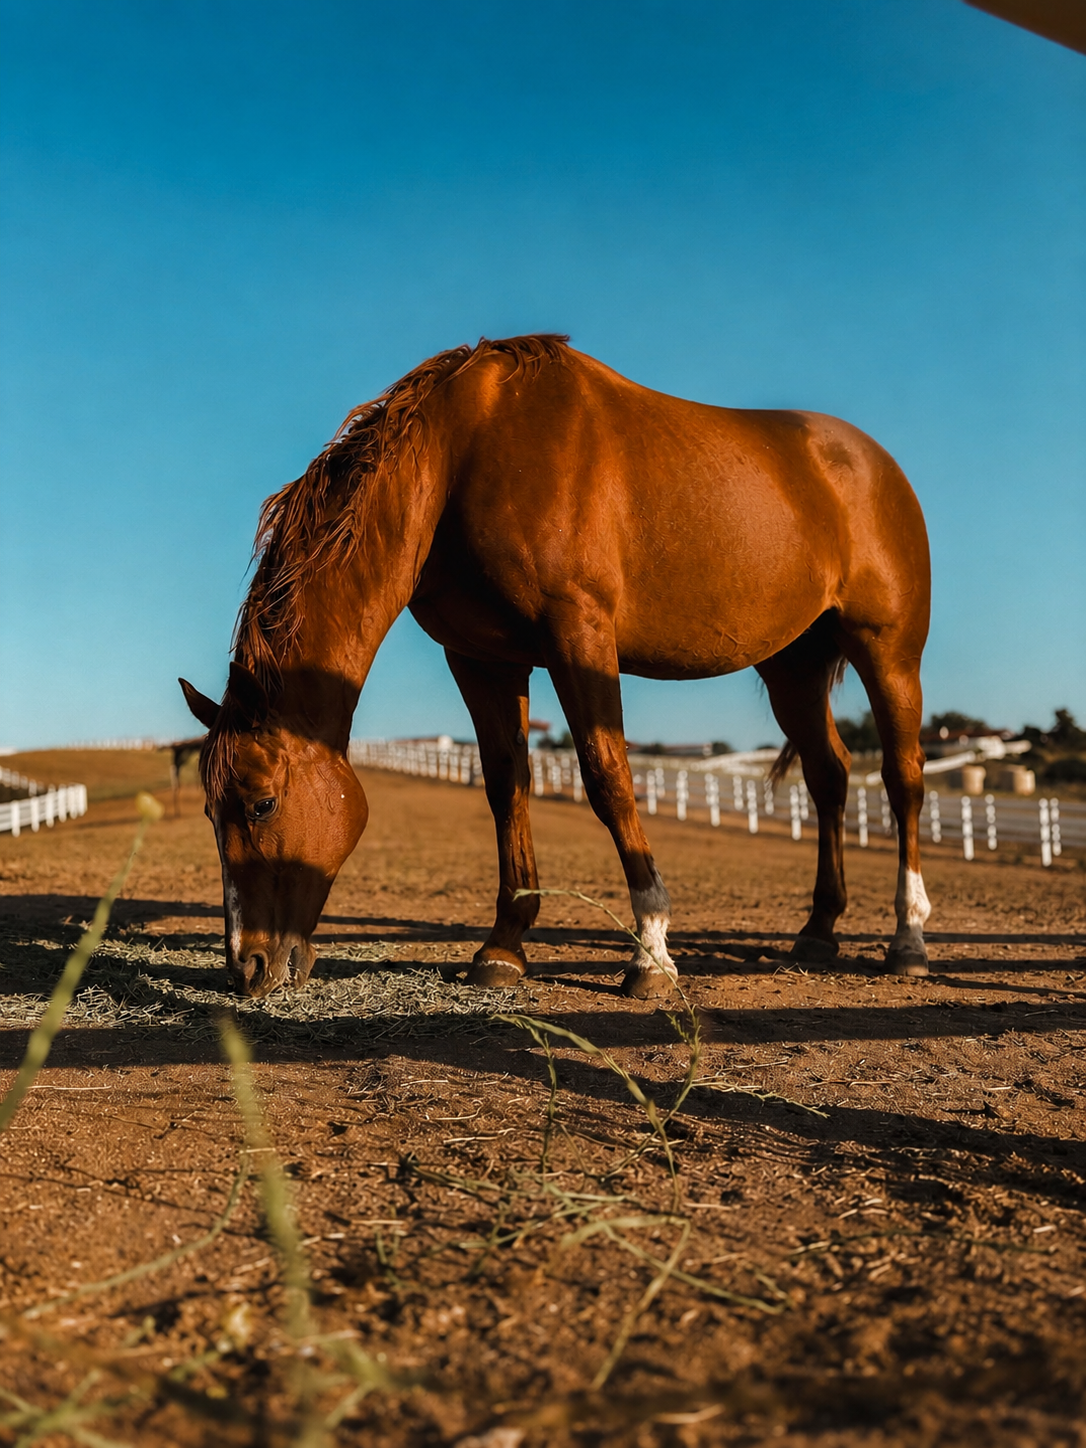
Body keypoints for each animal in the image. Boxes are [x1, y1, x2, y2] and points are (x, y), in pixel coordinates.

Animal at [180, 334, 932, 1001]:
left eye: (261, 802)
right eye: (212, 814)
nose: (246, 967)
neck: (461, 454)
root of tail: (873, 463)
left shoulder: (580, 637)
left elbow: (607, 778)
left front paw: (651, 953)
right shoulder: (482, 659)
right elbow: (506, 787)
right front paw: (503, 947)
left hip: (888, 651)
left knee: (902, 780)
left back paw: (908, 940)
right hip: (793, 671)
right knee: (831, 777)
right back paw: (819, 930)